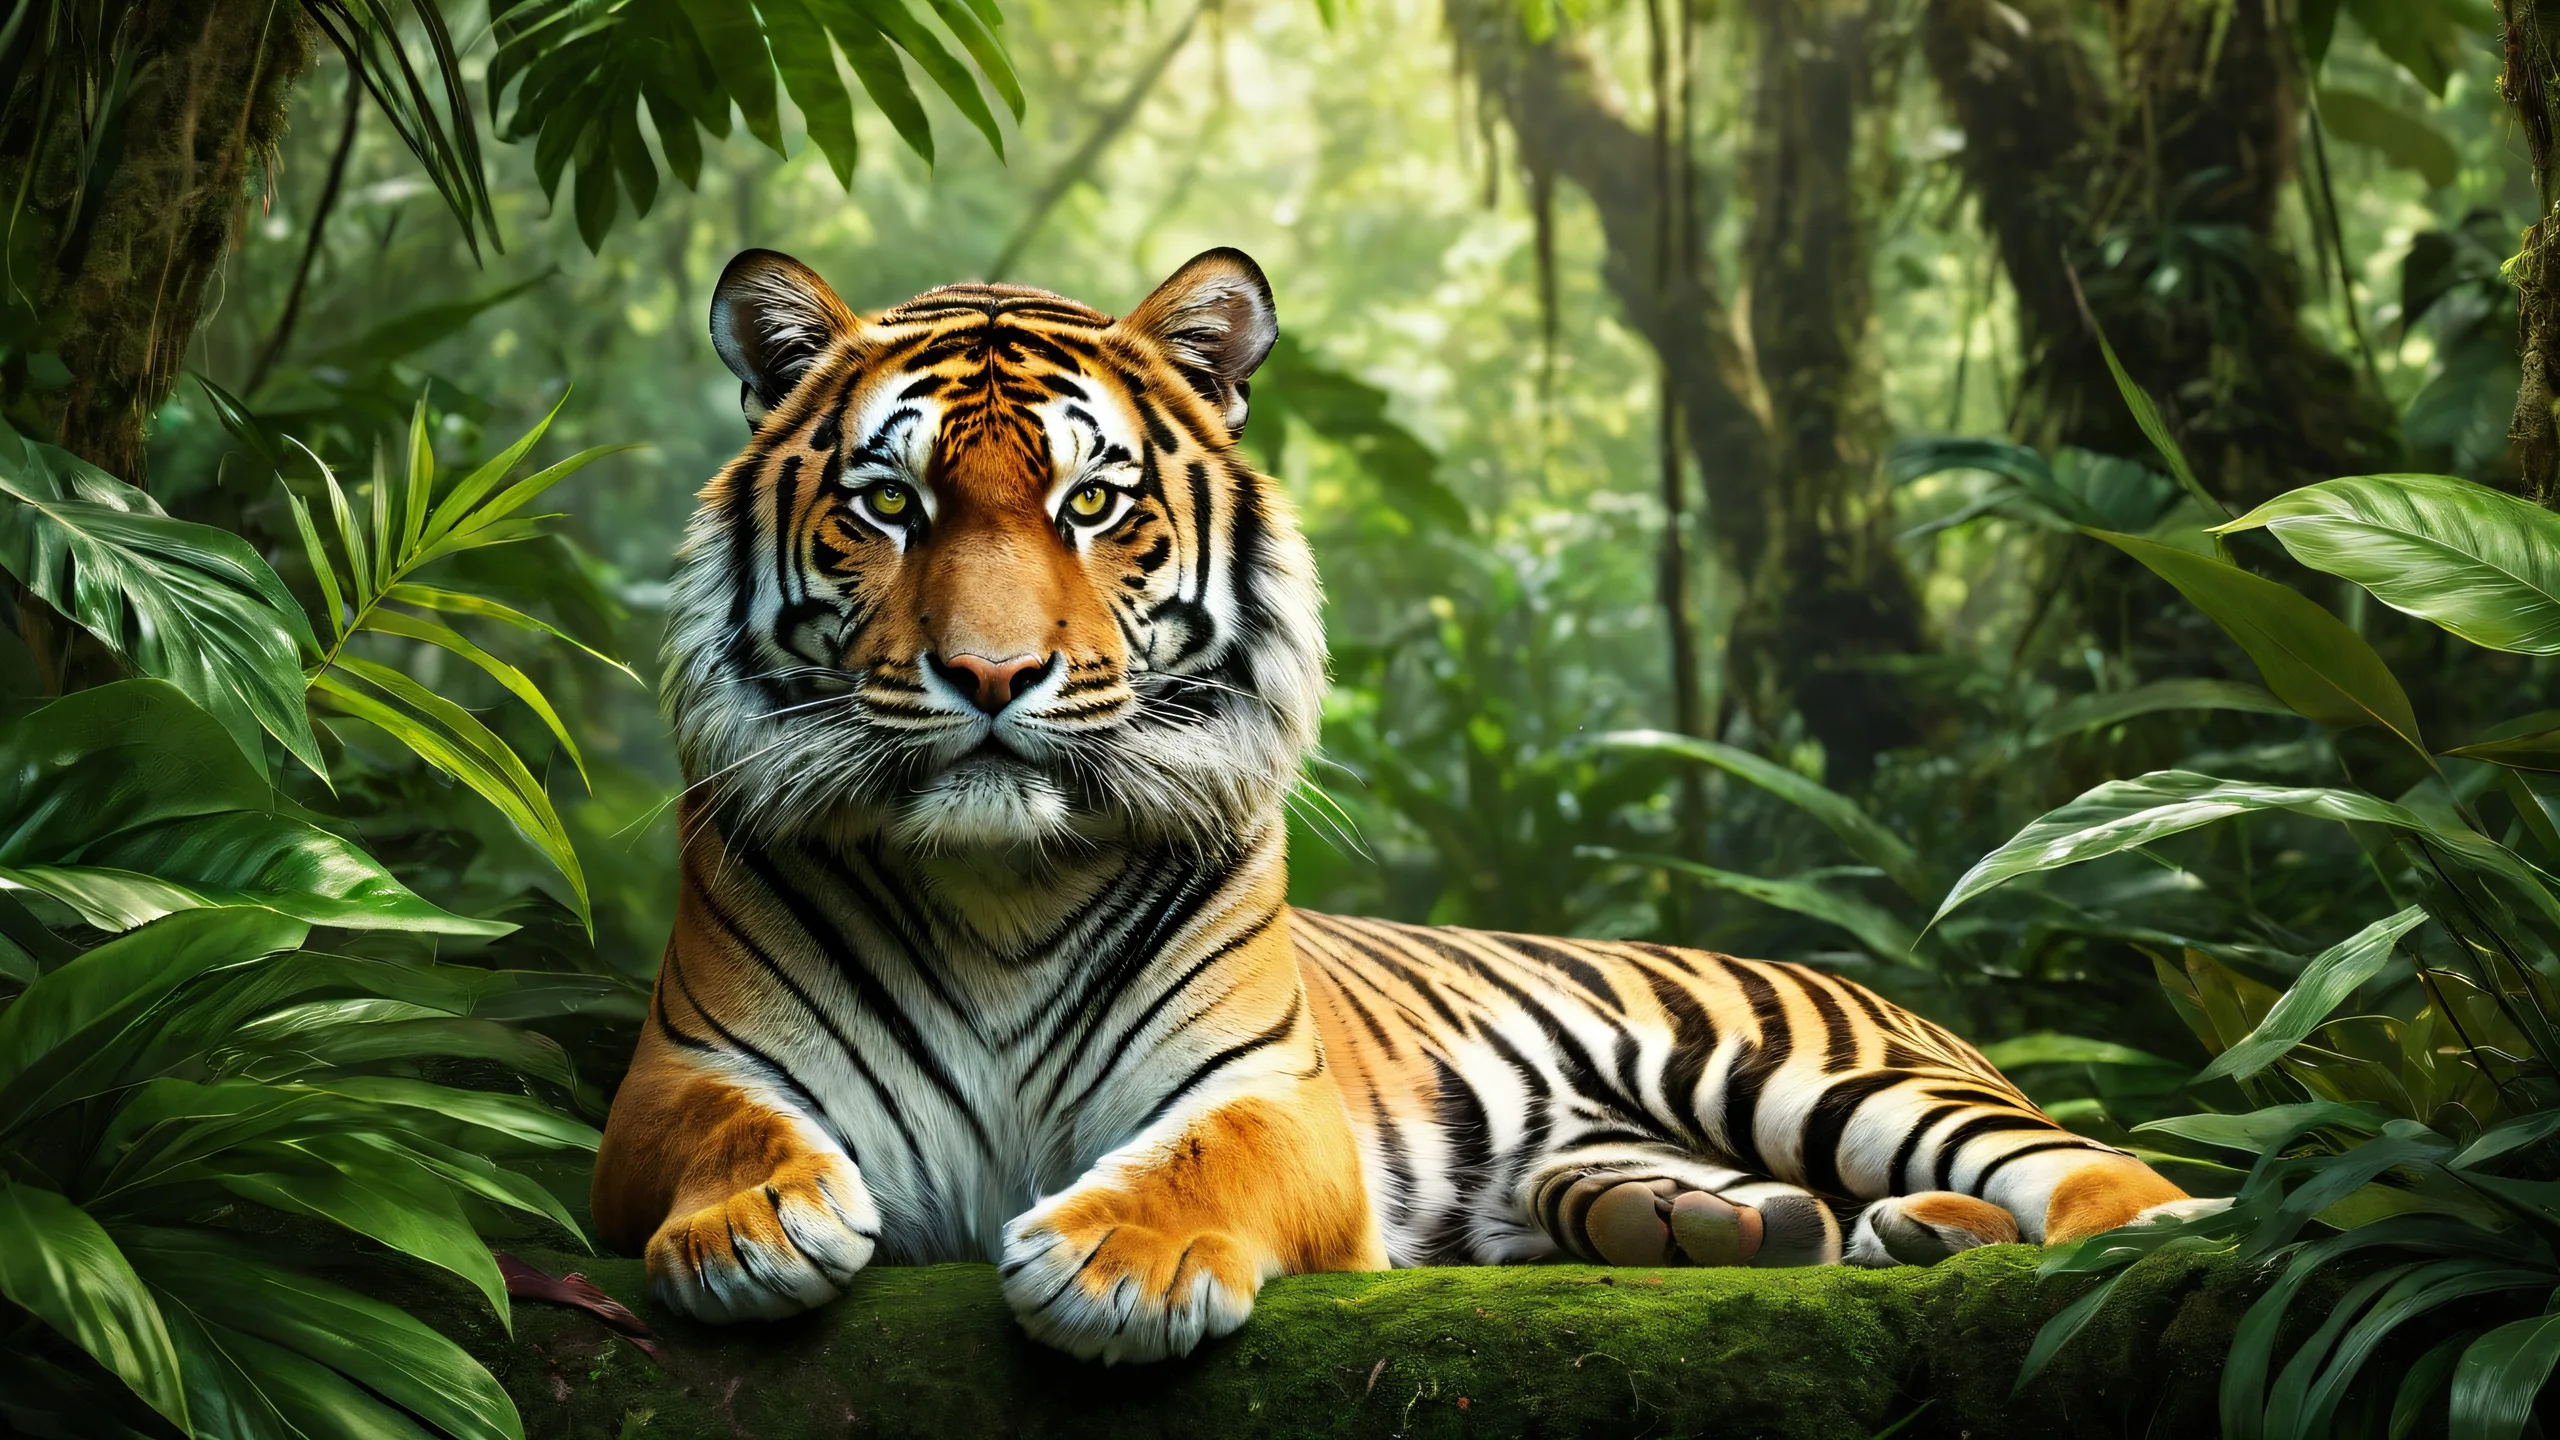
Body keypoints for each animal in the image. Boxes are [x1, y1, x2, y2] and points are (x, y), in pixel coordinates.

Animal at [590, 245, 2198, 1365]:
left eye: (1092, 506)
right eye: (889, 506)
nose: (993, 673)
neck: (998, 880)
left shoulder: (1267, 1091)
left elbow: (1203, 1155)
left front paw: (1118, 1266)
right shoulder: (676, 1077)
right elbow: (727, 1134)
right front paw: (748, 1228)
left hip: (1822, 1072)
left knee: (2090, 1163)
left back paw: (2135, 1236)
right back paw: (1789, 1228)